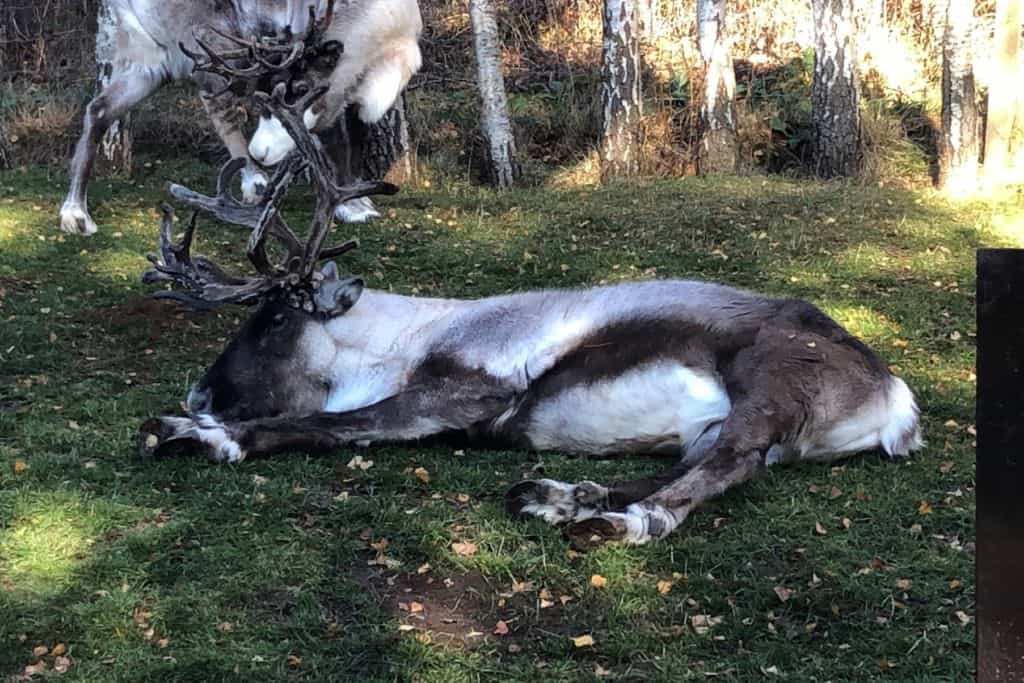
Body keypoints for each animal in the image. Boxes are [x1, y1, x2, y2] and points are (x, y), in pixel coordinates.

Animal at [59, 0, 422, 236]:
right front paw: (353, 206)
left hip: (149, 65)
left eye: (301, 88)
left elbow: (354, 133)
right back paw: (254, 181)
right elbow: (336, 137)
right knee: (222, 113)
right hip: (207, 52)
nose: (262, 152)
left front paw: (357, 199)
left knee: (98, 110)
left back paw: (74, 214)